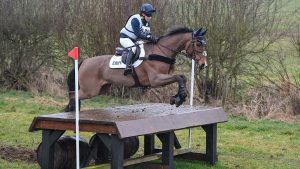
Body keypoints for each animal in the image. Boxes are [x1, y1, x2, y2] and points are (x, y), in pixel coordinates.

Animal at [64, 27, 207, 111]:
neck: (161, 51)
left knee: (74, 94)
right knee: (73, 95)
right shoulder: (156, 79)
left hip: (101, 89)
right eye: (198, 44)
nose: (203, 64)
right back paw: (72, 111)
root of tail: (84, 61)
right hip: (90, 90)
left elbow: (182, 77)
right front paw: (179, 98)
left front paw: (178, 97)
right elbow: (179, 77)